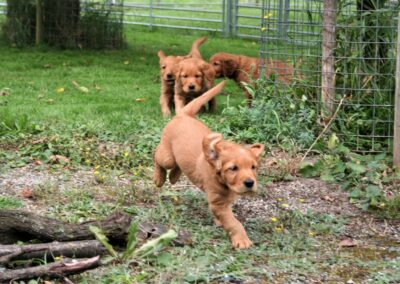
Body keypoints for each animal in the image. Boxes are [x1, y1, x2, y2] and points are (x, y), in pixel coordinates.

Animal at [155, 80, 264, 248]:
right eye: (233, 168)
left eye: (253, 167)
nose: (250, 183)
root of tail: (183, 114)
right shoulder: (218, 203)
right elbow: (234, 223)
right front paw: (242, 240)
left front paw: (220, 223)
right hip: (166, 156)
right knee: (157, 155)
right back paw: (159, 179)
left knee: (179, 165)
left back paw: (173, 177)